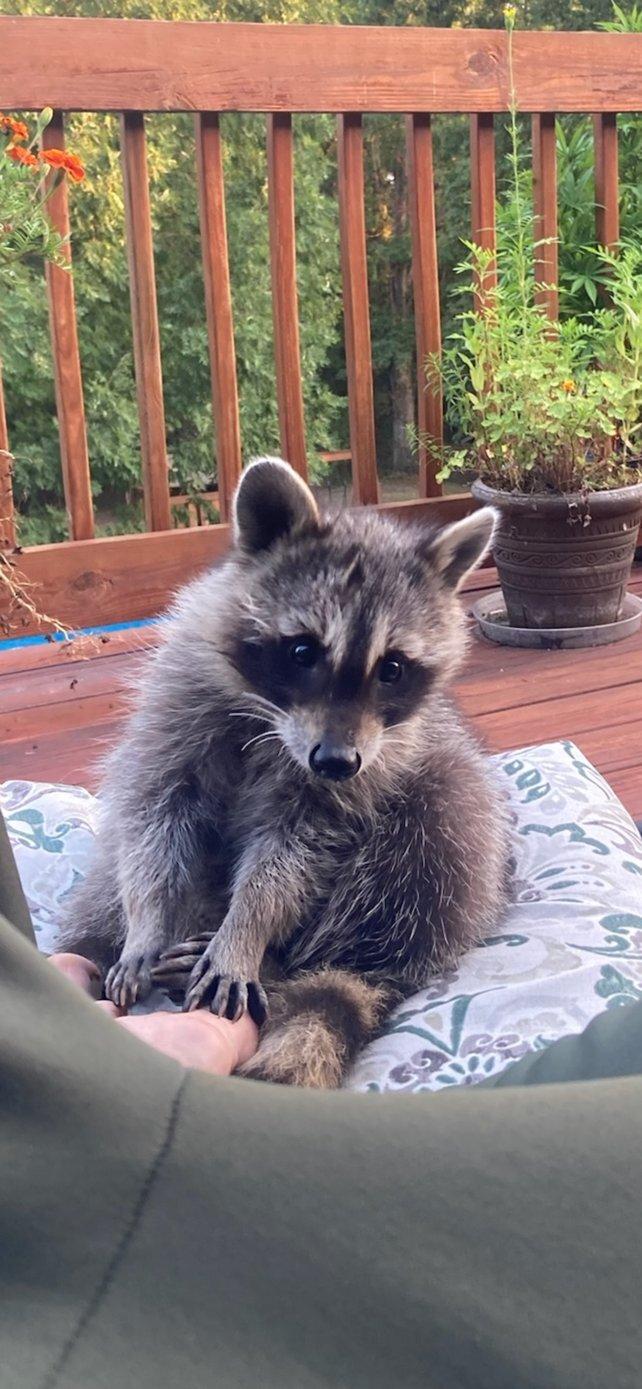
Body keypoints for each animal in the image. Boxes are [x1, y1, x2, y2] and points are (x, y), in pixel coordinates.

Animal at [57, 457, 510, 1088]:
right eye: (302, 653)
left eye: (392, 669)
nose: (336, 761)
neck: (272, 724)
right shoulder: (176, 709)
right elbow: (154, 816)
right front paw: (148, 921)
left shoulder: (360, 776)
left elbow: (291, 858)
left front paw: (247, 932)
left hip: (444, 828)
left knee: (434, 823)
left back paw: (286, 958)